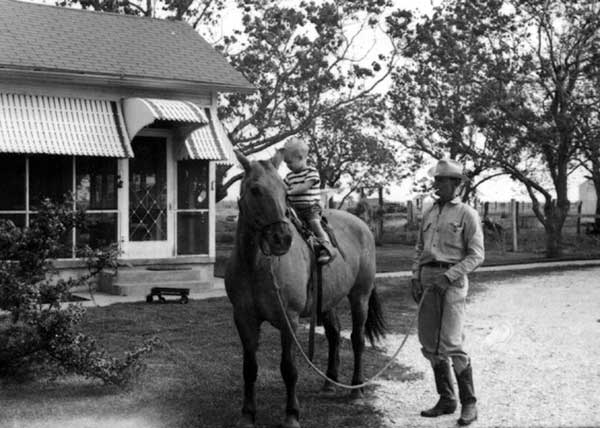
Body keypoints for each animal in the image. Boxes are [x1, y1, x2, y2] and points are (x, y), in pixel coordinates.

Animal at [224, 150, 384, 428]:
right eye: (255, 189)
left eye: (284, 192)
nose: (282, 238)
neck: (256, 264)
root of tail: (362, 225)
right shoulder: (243, 318)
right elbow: (249, 368)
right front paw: (247, 414)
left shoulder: (289, 318)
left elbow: (289, 368)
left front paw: (291, 414)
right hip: (328, 299)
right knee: (334, 334)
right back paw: (329, 382)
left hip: (360, 296)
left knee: (357, 339)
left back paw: (356, 389)